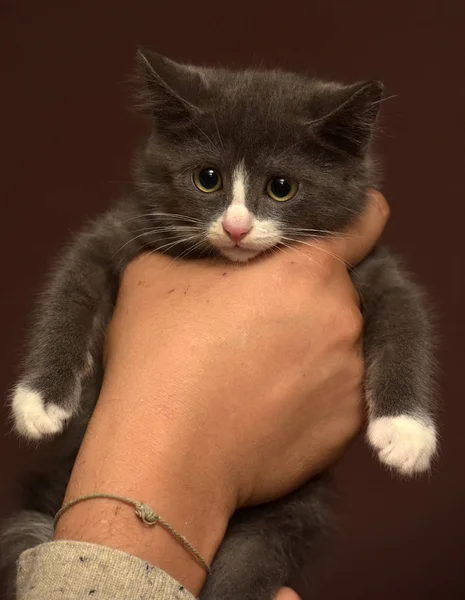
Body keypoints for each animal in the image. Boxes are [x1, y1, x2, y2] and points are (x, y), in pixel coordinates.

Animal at [0, 51, 436, 600]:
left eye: (282, 187)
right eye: (207, 178)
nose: (236, 227)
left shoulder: (371, 268)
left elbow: (406, 321)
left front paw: (407, 432)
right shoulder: (123, 228)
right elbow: (70, 286)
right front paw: (39, 401)